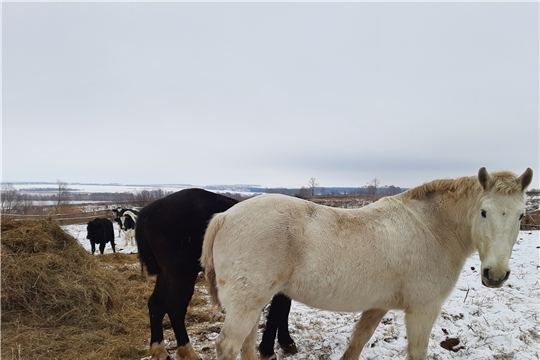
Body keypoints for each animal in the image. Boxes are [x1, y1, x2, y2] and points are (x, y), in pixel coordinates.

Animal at [201, 169, 532, 360]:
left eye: (520, 215)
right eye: (484, 212)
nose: (496, 274)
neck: (431, 228)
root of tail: (224, 216)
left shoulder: (377, 306)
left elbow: (355, 346)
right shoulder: (422, 310)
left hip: (254, 303)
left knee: (246, 345)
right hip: (245, 305)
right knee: (229, 347)